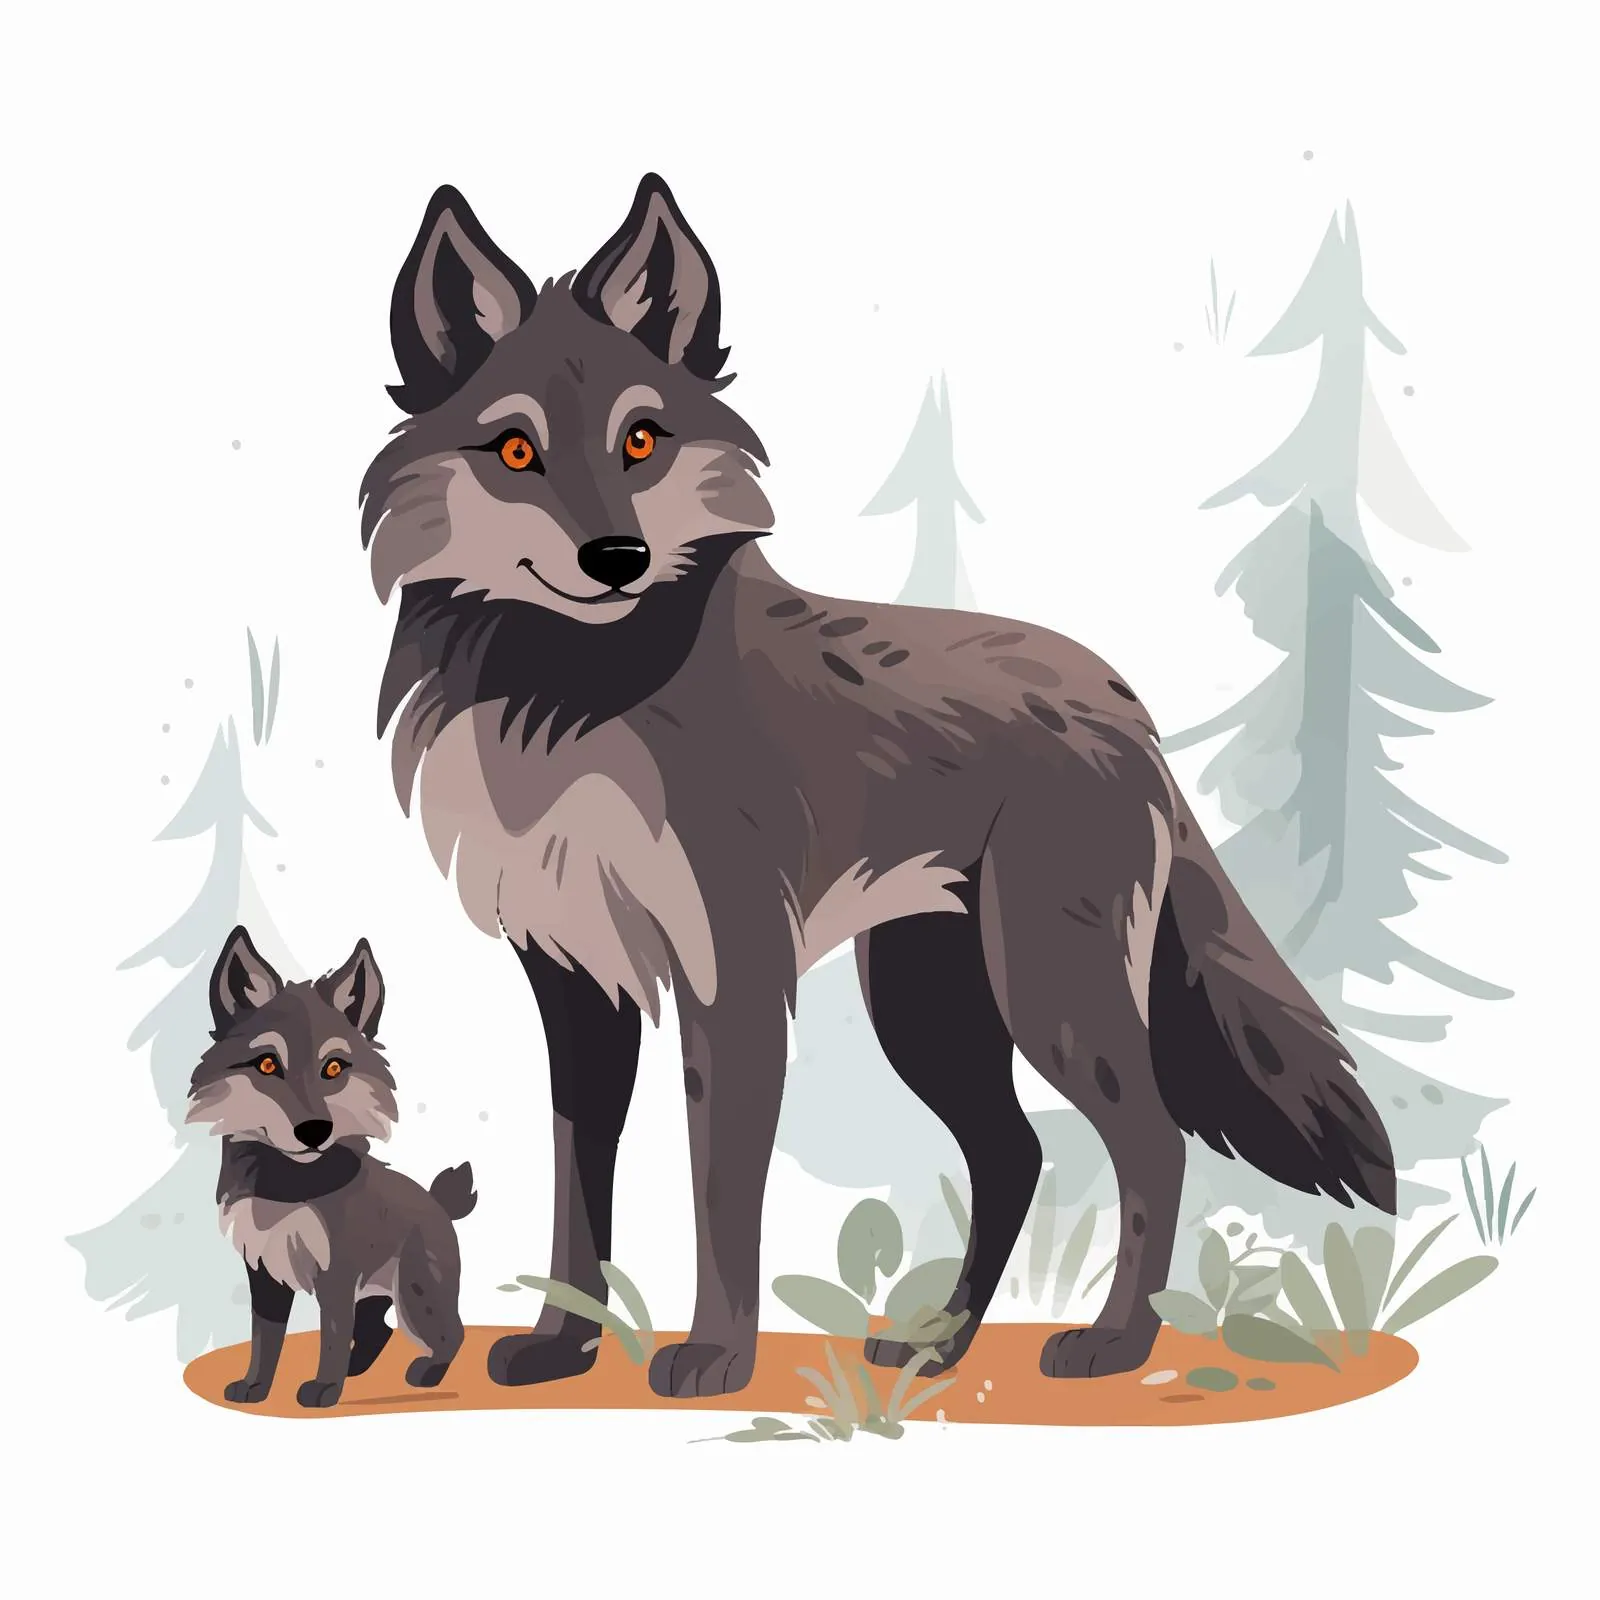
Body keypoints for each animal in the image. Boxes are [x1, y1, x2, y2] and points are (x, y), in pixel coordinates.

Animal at [187, 926, 477, 1407]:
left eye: (334, 1068)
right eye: (268, 1063)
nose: (314, 1131)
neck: (289, 1185)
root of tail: (438, 1203)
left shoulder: (337, 1271)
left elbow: (332, 1335)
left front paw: (324, 1388)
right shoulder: (263, 1272)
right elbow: (265, 1339)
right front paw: (255, 1387)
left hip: (416, 1295)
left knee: (452, 1334)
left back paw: (426, 1374)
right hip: (379, 1293)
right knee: (379, 1331)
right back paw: (358, 1370)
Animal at [358, 174, 1395, 1398]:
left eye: (641, 440)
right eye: (515, 450)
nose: (614, 559)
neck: (573, 698)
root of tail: (1121, 699)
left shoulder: (733, 973)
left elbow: (721, 1194)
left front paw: (717, 1356)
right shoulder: (576, 980)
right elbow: (580, 1186)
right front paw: (562, 1348)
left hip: (1043, 990)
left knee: (1150, 1139)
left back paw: (1112, 1343)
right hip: (926, 1006)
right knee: (1014, 1152)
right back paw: (939, 1344)